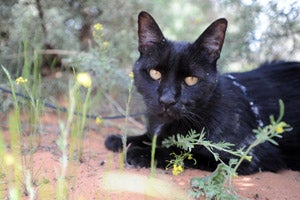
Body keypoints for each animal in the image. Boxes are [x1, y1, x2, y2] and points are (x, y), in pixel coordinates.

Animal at [104, 10, 298, 174]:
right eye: (155, 73)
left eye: (191, 80)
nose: (167, 100)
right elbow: (150, 137)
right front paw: (120, 139)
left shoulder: (247, 154)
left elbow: (183, 150)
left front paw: (141, 153)